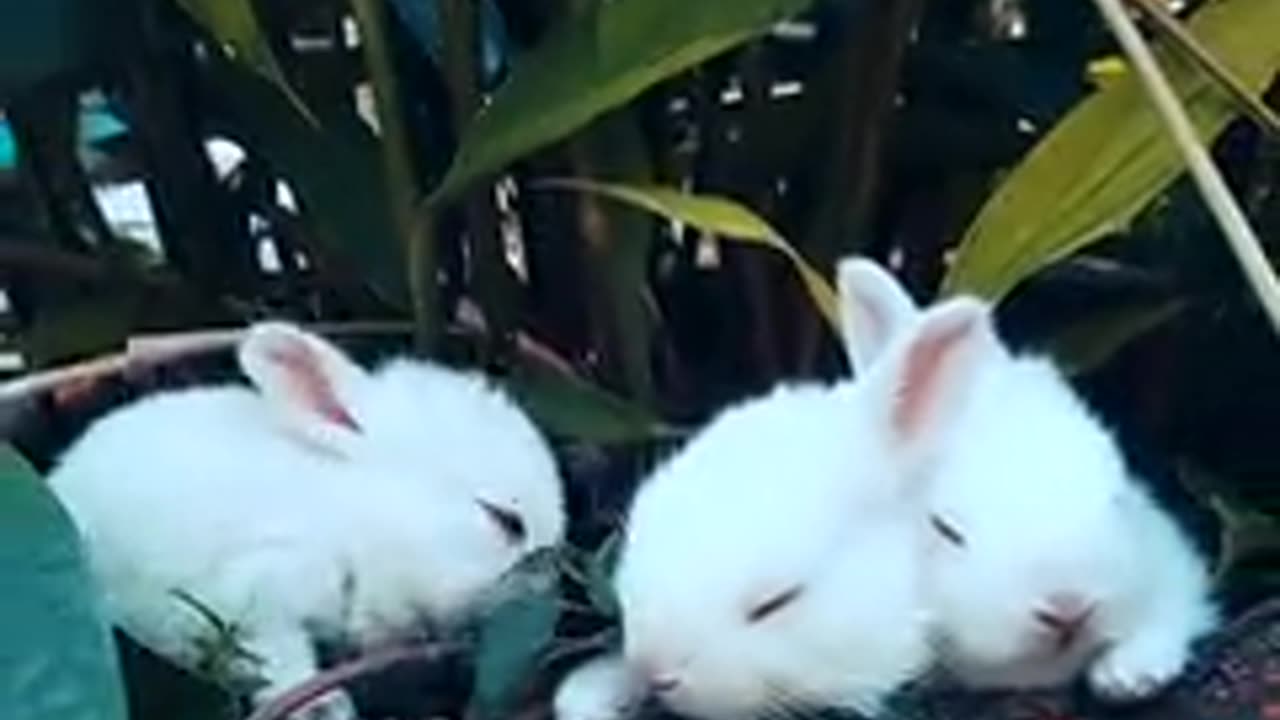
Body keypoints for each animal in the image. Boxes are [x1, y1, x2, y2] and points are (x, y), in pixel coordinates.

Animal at [47, 320, 565, 717]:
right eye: (506, 521)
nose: (551, 596)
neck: (356, 519)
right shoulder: (257, 603)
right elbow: (288, 669)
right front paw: (327, 708)